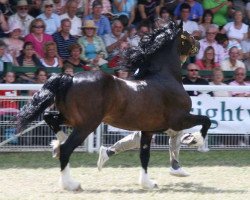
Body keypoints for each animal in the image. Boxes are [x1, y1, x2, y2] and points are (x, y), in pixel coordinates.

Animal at [15, 20, 211, 191]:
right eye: (187, 35)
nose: (199, 43)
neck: (164, 77)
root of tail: (69, 78)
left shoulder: (148, 130)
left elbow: (144, 156)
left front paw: (148, 183)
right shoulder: (179, 120)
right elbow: (206, 120)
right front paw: (194, 140)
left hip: (71, 118)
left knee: (50, 118)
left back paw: (58, 141)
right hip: (87, 125)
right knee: (66, 149)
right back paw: (70, 183)